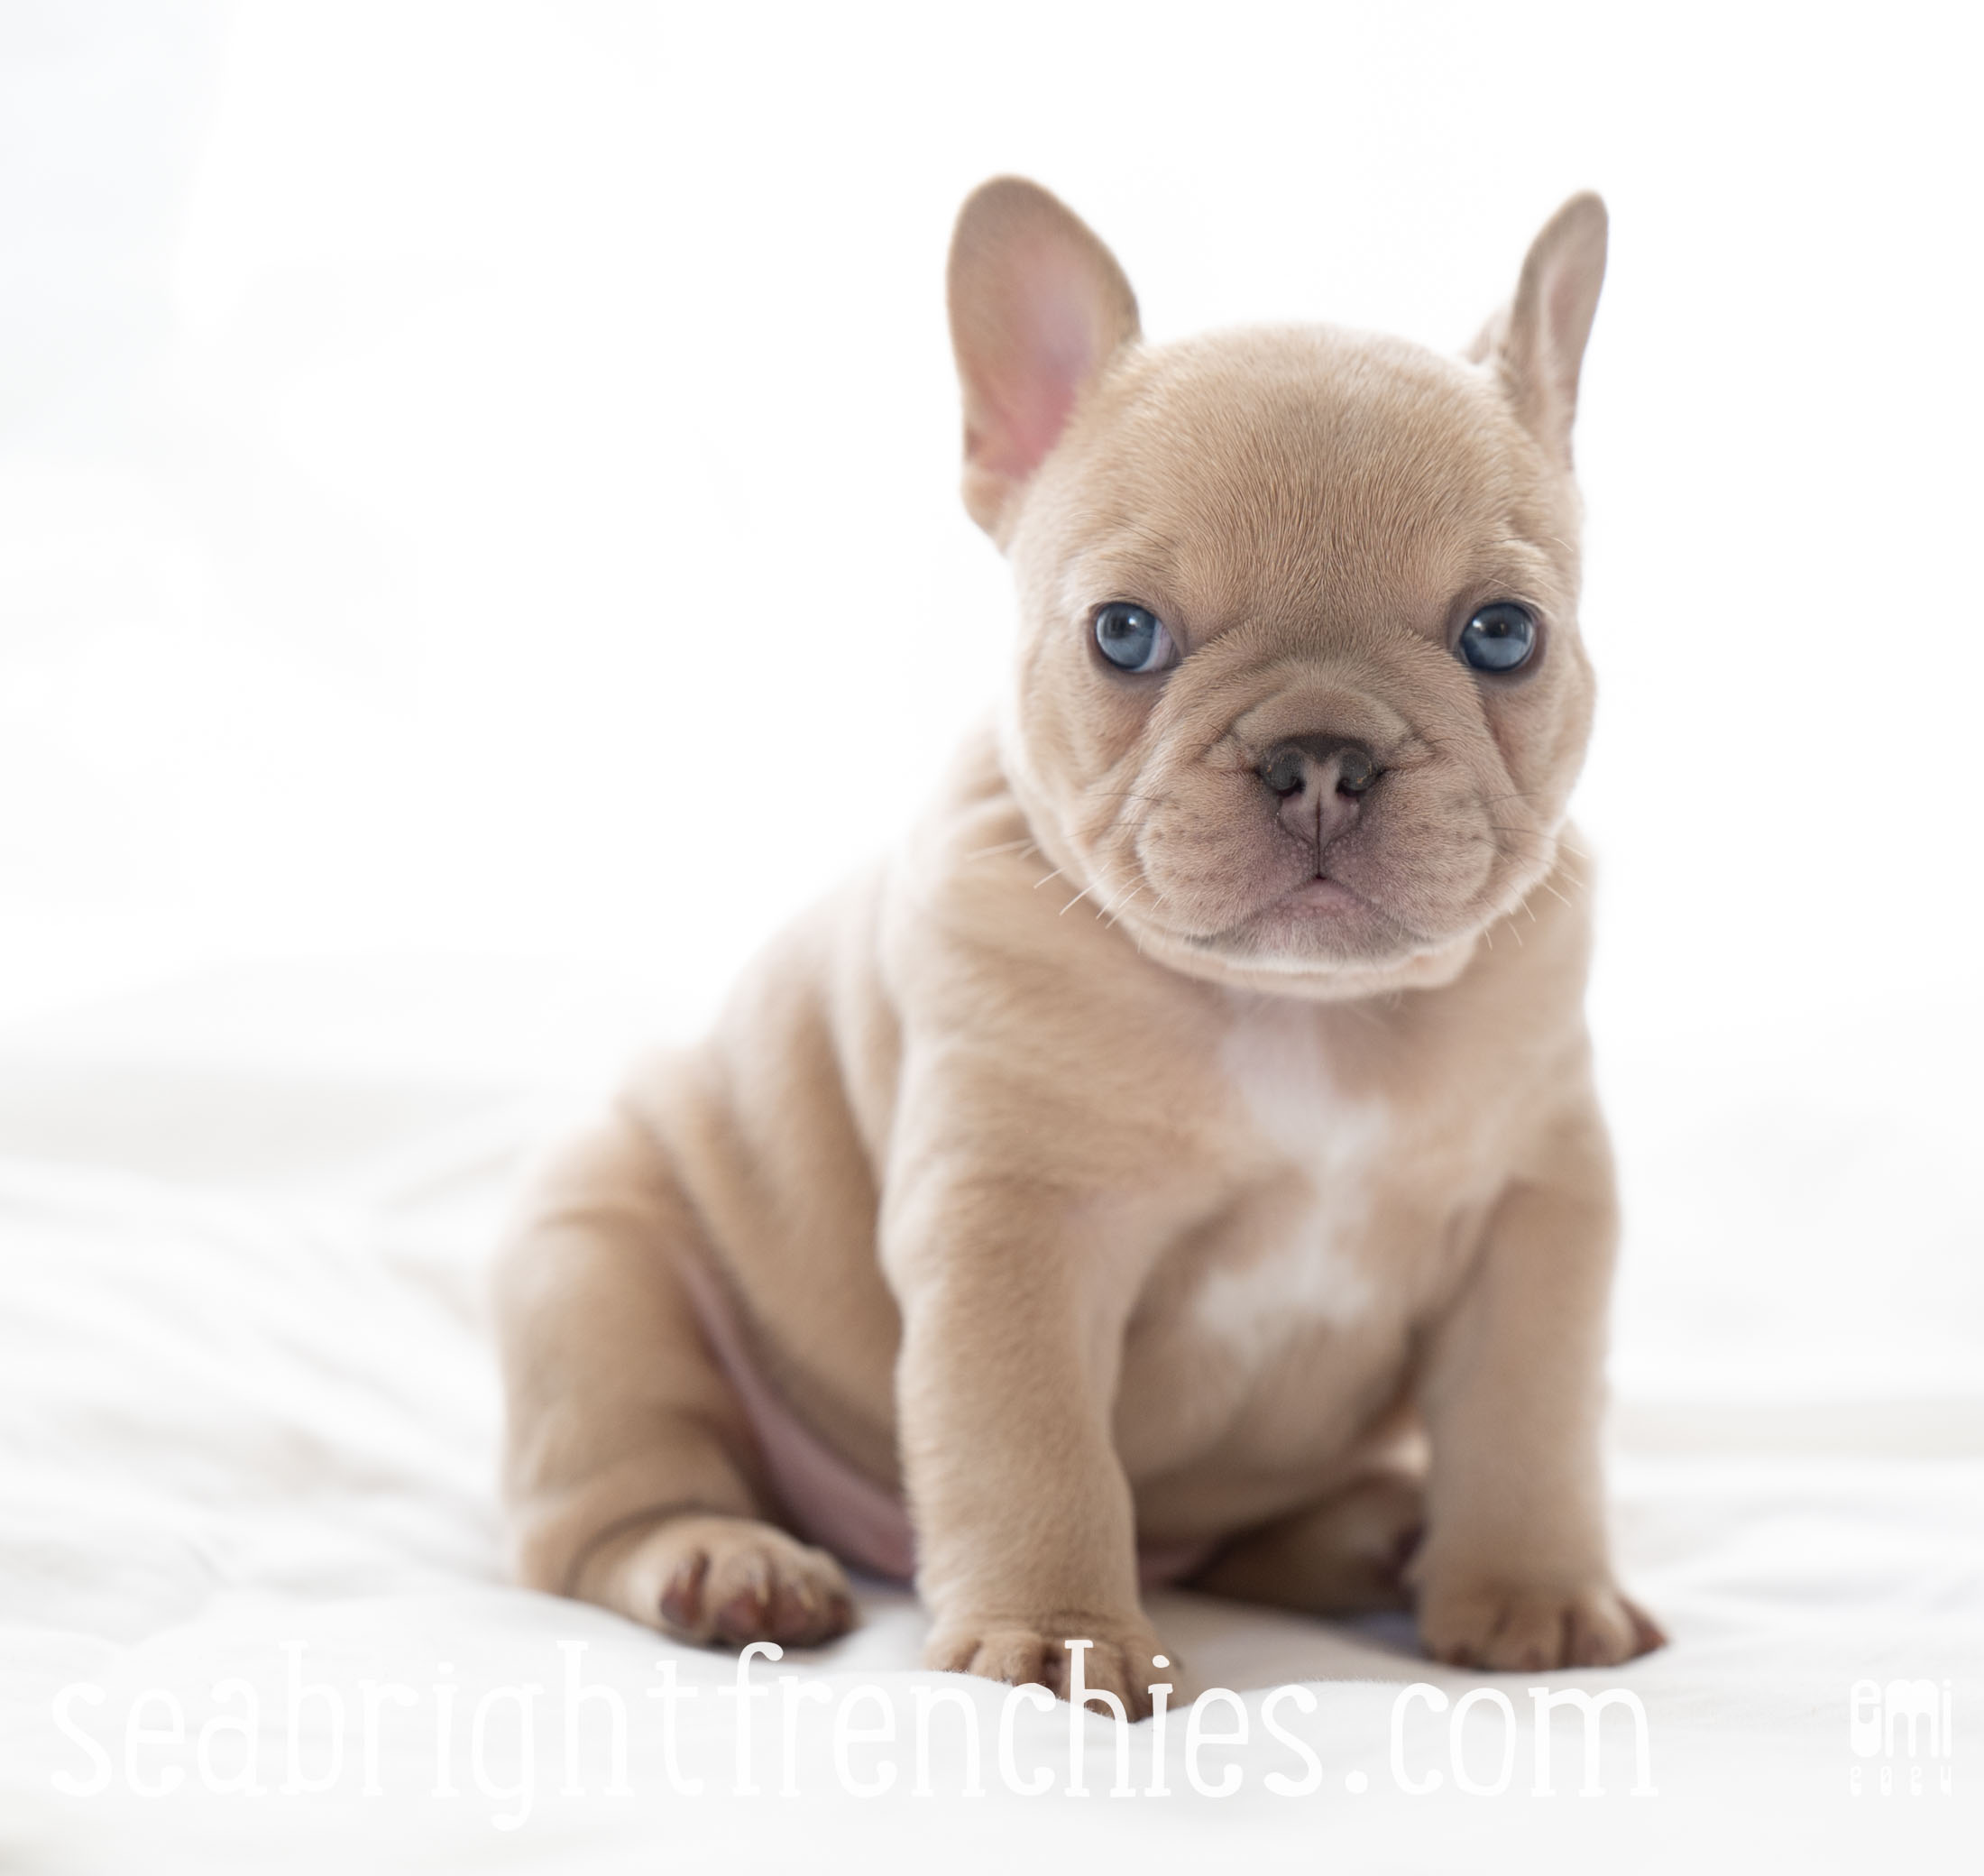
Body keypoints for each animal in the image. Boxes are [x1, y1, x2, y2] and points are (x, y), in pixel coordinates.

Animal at [494, 177, 1663, 1716]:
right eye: (1124, 634)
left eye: (1505, 635)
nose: (1322, 754)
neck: (1298, 1010)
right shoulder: (1017, 1225)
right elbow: (1035, 1445)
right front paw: (1057, 1636)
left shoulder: (1535, 1216)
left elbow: (1529, 1426)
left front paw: (1531, 1593)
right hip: (596, 1258)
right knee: (601, 1504)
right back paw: (723, 1559)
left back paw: (1376, 1533)